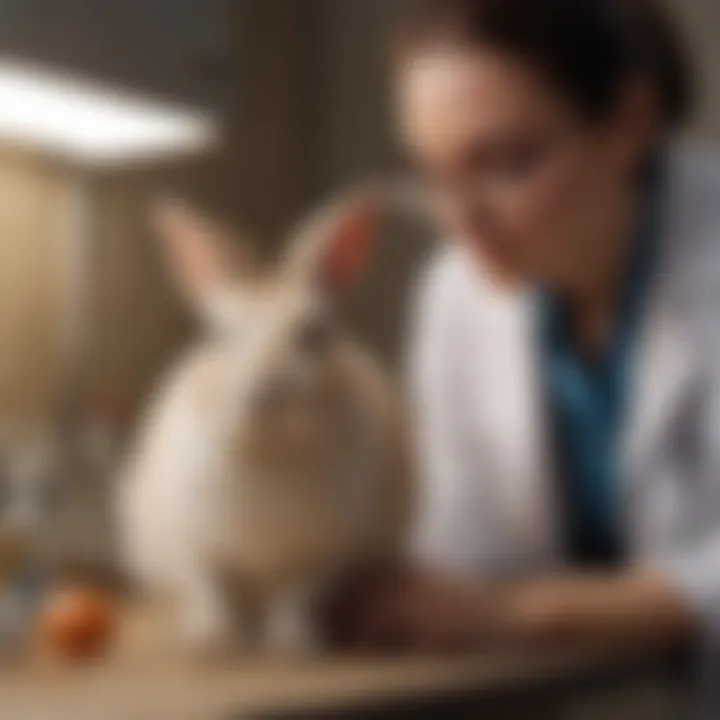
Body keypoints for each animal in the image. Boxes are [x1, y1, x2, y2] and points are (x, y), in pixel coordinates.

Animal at [117, 191, 410, 660]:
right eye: (217, 336)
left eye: (315, 334)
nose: (263, 394)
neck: (269, 448)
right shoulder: (194, 544)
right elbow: (212, 591)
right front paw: (211, 643)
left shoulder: (325, 555)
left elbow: (297, 598)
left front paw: (293, 646)